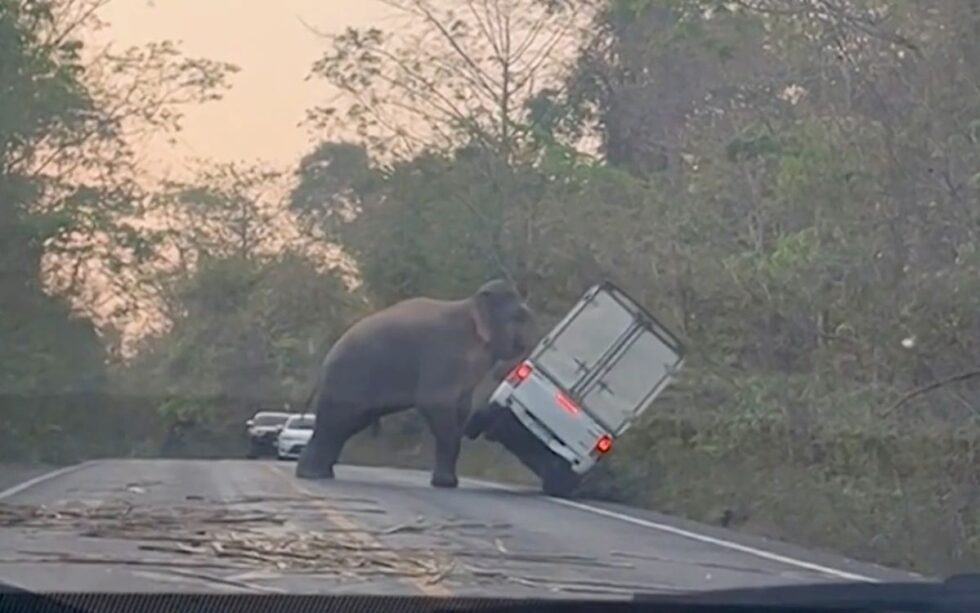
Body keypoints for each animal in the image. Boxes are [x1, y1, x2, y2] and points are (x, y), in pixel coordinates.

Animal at [296, 278, 536, 488]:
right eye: (520, 316)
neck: (469, 304)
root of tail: (324, 363)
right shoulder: (443, 353)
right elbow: (436, 404)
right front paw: (446, 484)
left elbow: (461, 408)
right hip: (347, 381)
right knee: (336, 424)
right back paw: (313, 475)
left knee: (344, 426)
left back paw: (317, 474)